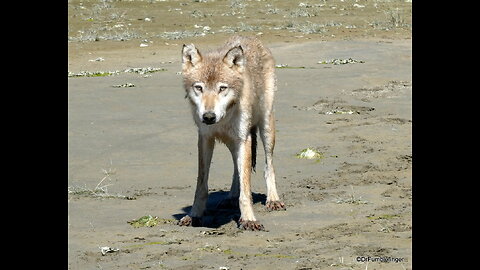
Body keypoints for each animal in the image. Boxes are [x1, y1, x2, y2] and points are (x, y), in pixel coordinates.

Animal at [179, 35, 284, 230]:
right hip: (232, 142)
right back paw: (231, 196)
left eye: (222, 88)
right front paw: (194, 215)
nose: (209, 116)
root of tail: (250, 37)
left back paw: (273, 199)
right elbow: (201, 185)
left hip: (266, 128)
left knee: (268, 166)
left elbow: (246, 189)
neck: (225, 117)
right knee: (237, 169)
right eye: (199, 88)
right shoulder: (205, 139)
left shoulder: (243, 138)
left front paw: (249, 219)